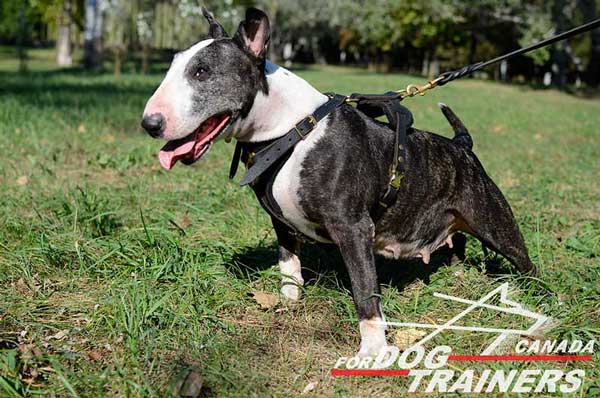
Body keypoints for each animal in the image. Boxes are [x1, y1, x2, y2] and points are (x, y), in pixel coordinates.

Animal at [141, 7, 536, 358]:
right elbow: (289, 265)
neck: (290, 130)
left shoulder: (353, 227)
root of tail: (461, 146)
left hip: (494, 222)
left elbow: (364, 289)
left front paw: (373, 349)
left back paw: (534, 297)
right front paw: (288, 302)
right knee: (457, 243)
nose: (150, 123)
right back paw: (457, 277)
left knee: (524, 261)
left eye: (202, 72)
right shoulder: (279, 220)